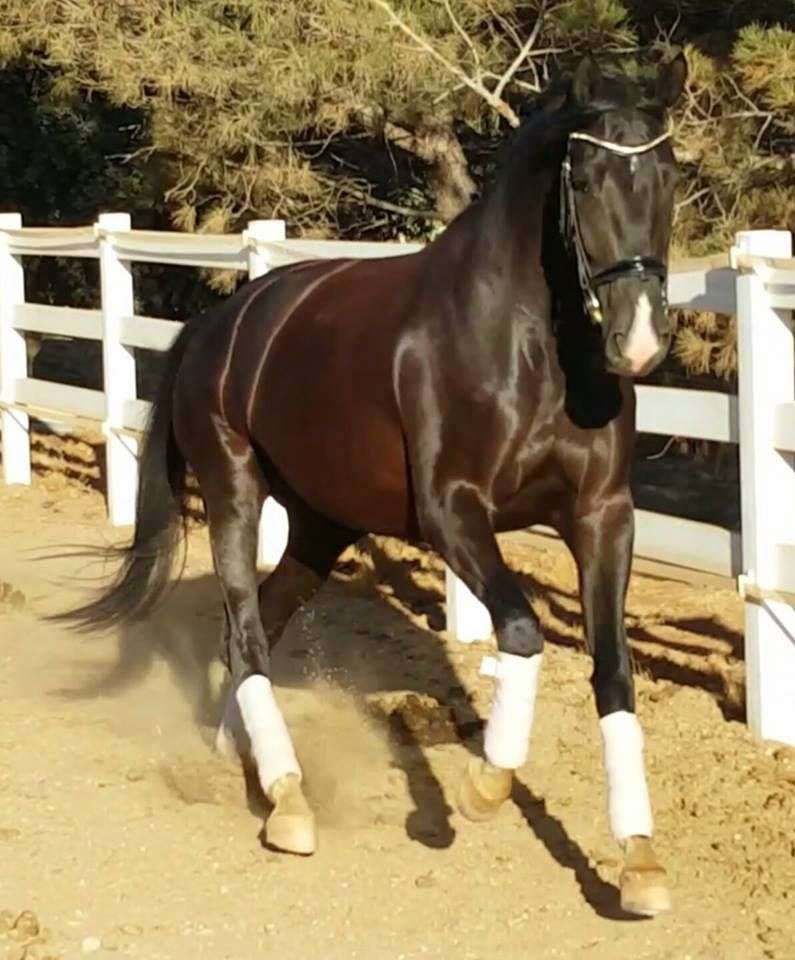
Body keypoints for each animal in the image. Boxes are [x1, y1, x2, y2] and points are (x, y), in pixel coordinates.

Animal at [59, 53, 688, 916]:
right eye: (586, 178)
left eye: (668, 174)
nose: (639, 339)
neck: (522, 343)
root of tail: (222, 324)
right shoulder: (453, 512)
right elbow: (522, 631)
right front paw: (483, 788)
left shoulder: (602, 516)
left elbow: (613, 668)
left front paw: (641, 862)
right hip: (233, 492)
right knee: (246, 631)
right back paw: (289, 801)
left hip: (320, 527)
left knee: (254, 630)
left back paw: (245, 758)